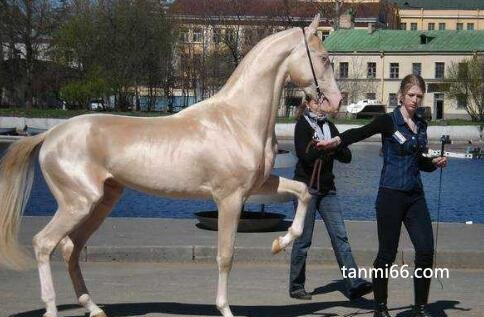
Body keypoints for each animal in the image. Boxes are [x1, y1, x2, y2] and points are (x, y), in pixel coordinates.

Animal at [0, 14, 340, 316]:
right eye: (324, 58)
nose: (335, 102)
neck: (237, 119)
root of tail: (51, 134)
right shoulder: (229, 199)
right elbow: (225, 256)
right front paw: (225, 309)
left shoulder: (258, 186)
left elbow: (304, 192)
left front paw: (279, 243)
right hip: (78, 203)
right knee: (44, 244)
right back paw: (51, 308)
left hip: (101, 202)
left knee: (71, 248)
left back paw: (93, 307)